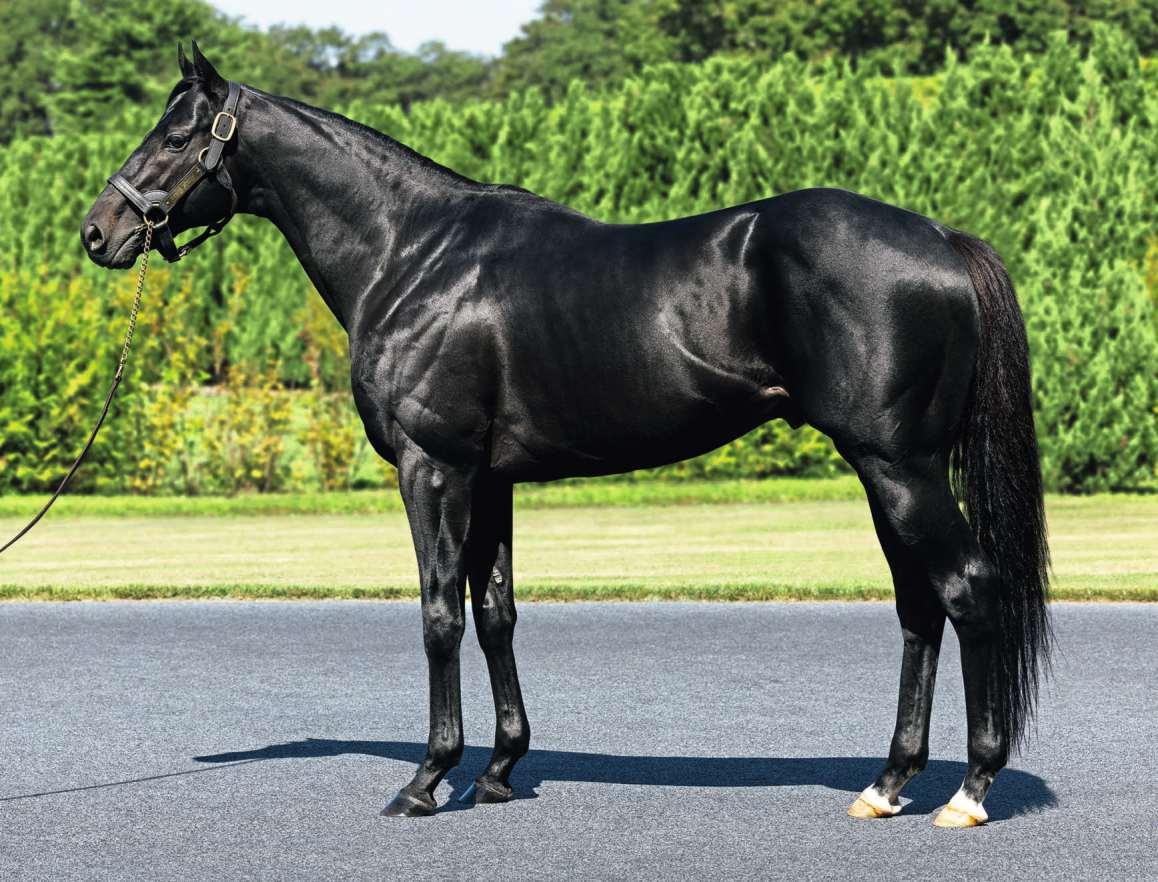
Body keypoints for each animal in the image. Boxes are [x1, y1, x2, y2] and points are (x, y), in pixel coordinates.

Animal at [81, 43, 1050, 827]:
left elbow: (439, 613)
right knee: (919, 607)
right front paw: (499, 770)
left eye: (177, 136)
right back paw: (887, 785)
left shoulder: (434, 468)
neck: (411, 254)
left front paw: (426, 781)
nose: (100, 231)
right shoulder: (490, 478)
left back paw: (968, 793)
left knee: (965, 589)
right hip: (884, 468)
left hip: (900, 467)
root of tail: (940, 238)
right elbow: (496, 612)